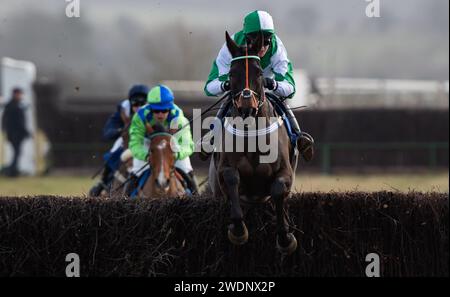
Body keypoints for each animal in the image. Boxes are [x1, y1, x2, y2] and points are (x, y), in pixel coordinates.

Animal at [207, 31, 298, 253]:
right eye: (231, 74)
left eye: (258, 74)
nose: (247, 107)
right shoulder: (224, 171)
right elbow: (231, 178)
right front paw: (239, 231)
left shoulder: (285, 172)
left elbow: (277, 189)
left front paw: (285, 238)